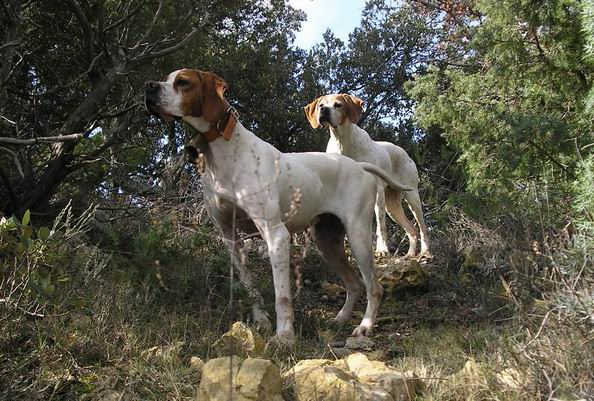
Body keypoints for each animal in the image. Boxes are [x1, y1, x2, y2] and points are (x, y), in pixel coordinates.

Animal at [144, 69, 412, 344]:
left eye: (183, 82)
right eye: (167, 78)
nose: (149, 86)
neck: (224, 153)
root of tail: (359, 165)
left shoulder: (276, 235)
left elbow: (281, 296)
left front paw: (284, 337)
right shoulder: (230, 238)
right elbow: (249, 286)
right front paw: (261, 321)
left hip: (358, 237)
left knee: (374, 286)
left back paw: (365, 326)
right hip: (326, 241)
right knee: (355, 285)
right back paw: (340, 319)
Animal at [306, 94, 426, 256]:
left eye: (338, 105)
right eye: (321, 105)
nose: (324, 110)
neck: (342, 141)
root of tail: (405, 153)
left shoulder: (378, 193)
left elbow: (380, 226)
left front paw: (382, 249)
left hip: (412, 197)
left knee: (423, 228)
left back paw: (426, 252)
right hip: (392, 206)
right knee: (412, 230)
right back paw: (410, 255)